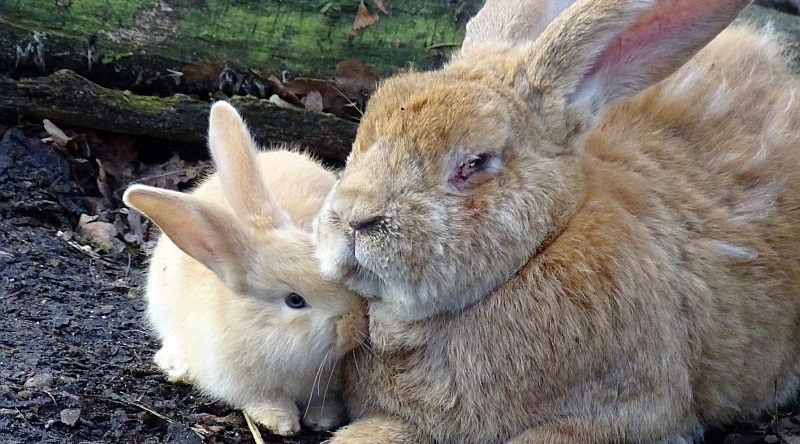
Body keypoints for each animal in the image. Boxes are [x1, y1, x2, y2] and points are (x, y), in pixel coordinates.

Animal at [123, 101, 368, 438]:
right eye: (295, 301)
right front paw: (281, 421)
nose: (356, 323)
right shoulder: (239, 382)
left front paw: (324, 419)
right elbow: (262, 399)